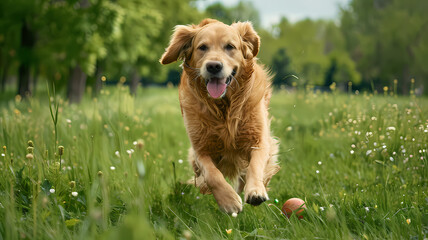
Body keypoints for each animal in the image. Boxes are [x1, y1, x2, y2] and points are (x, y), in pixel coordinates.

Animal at [160, 18, 280, 214]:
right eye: (202, 47)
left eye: (230, 46)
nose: (214, 66)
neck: (224, 107)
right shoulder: (200, 149)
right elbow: (212, 174)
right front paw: (228, 201)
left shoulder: (259, 140)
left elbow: (255, 165)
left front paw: (255, 191)